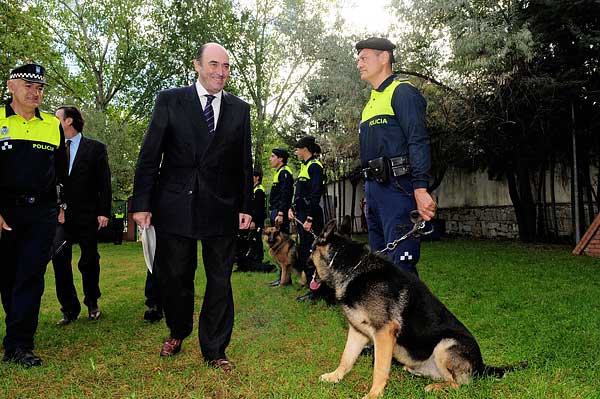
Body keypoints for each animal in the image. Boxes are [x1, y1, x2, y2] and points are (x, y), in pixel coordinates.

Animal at [312, 220, 516, 398]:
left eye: (311, 248)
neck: (353, 268)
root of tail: (481, 366)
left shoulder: (384, 332)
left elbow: (379, 369)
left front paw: (374, 394)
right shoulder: (357, 332)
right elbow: (346, 357)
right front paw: (335, 376)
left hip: (445, 344)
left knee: (460, 384)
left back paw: (435, 387)